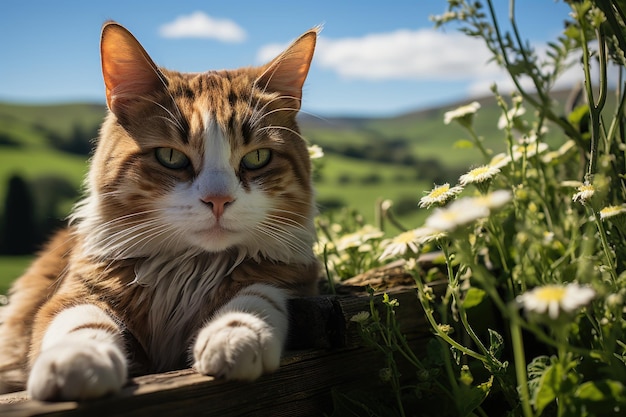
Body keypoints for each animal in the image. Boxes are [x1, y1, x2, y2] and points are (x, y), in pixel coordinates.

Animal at [0, 22, 320, 400]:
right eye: (170, 157)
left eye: (257, 158)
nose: (218, 200)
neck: (188, 269)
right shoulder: (75, 291)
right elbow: (80, 320)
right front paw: (79, 362)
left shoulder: (294, 279)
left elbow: (257, 294)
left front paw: (236, 335)